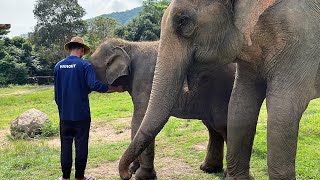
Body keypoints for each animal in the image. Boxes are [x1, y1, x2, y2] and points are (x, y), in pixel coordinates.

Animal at [90, 37, 235, 179]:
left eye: (90, 66)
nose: (127, 175)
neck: (129, 45)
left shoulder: (145, 78)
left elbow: (138, 120)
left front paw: (141, 176)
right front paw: (134, 169)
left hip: (223, 90)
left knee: (222, 125)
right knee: (213, 127)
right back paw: (208, 169)